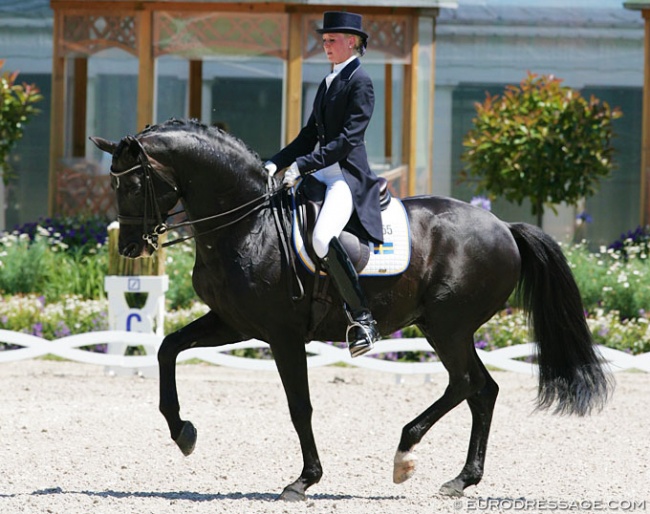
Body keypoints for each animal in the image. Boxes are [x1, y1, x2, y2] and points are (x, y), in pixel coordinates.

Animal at [90, 118, 608, 498]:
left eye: (133, 185)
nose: (132, 247)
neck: (248, 224)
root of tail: (504, 227)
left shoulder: (281, 333)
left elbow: (299, 405)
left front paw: (304, 480)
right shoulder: (234, 323)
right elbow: (167, 349)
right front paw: (183, 432)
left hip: (449, 326)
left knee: (465, 383)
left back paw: (405, 454)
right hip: (449, 328)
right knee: (482, 389)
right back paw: (461, 480)